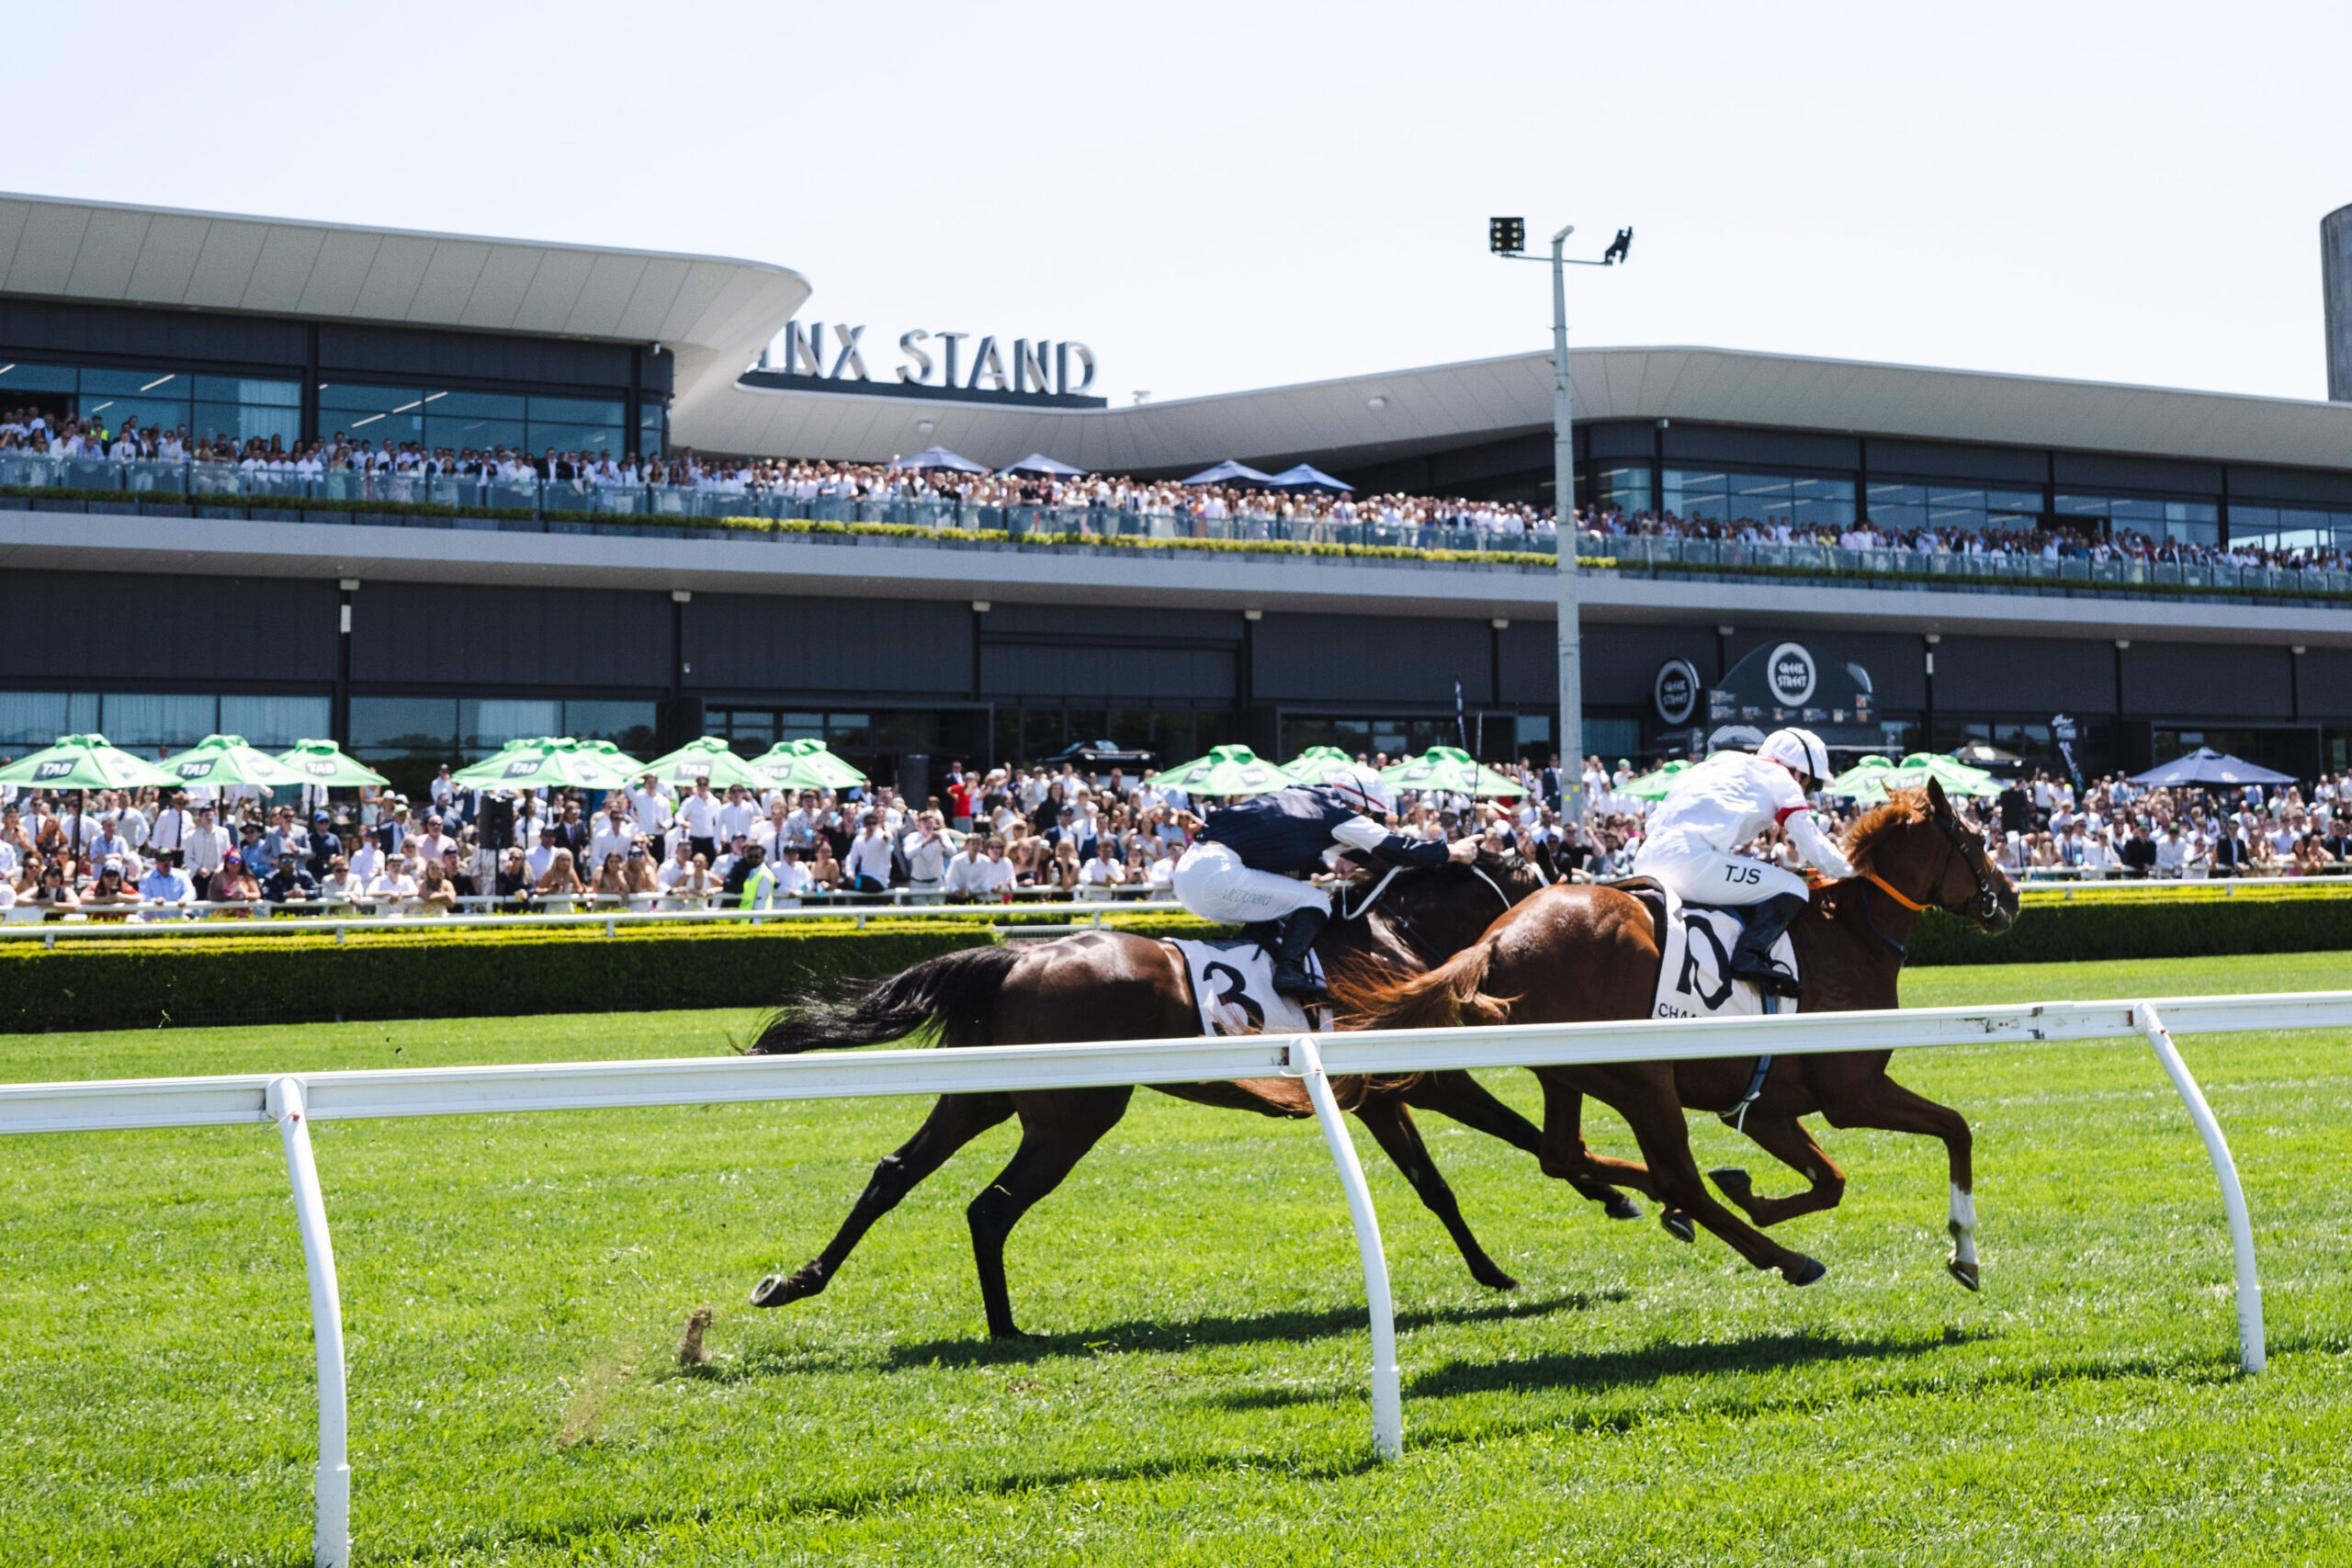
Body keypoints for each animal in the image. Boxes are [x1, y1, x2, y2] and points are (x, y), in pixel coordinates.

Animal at [748, 851, 1636, 1344]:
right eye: (1545, 875)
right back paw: (1006, 1327)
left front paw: (1498, 1266)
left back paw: (796, 1281)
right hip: (1073, 1114)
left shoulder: (1381, 1095)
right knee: (991, 1205)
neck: (1392, 935)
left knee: (896, 1172)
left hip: (986, 1096)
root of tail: (1017, 959)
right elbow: (1522, 1139)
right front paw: (1607, 1196)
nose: (1586, 918)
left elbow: (1436, 1186)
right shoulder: (1430, 1077)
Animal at [1345, 780, 2022, 1288]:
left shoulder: (1767, 1105)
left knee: (1564, 1152)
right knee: (1678, 1178)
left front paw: (1751, 1192)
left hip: (1569, 1073)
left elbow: (1830, 1181)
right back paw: (1784, 1258)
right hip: (1643, 1080)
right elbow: (1955, 1128)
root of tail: (1493, 940)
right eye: (1976, 838)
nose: (2012, 897)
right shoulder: (1851, 1092)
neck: (1851, 935)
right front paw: (1964, 1253)